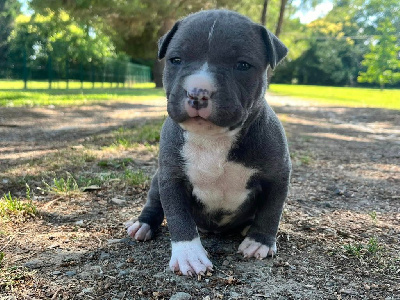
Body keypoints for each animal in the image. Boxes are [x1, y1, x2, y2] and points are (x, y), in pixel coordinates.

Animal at [127, 9, 290, 276]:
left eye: (242, 65)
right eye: (175, 60)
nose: (197, 92)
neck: (213, 138)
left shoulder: (277, 175)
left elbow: (271, 210)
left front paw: (260, 242)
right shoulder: (171, 177)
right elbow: (178, 217)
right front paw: (189, 256)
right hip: (156, 180)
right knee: (154, 203)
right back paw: (143, 225)